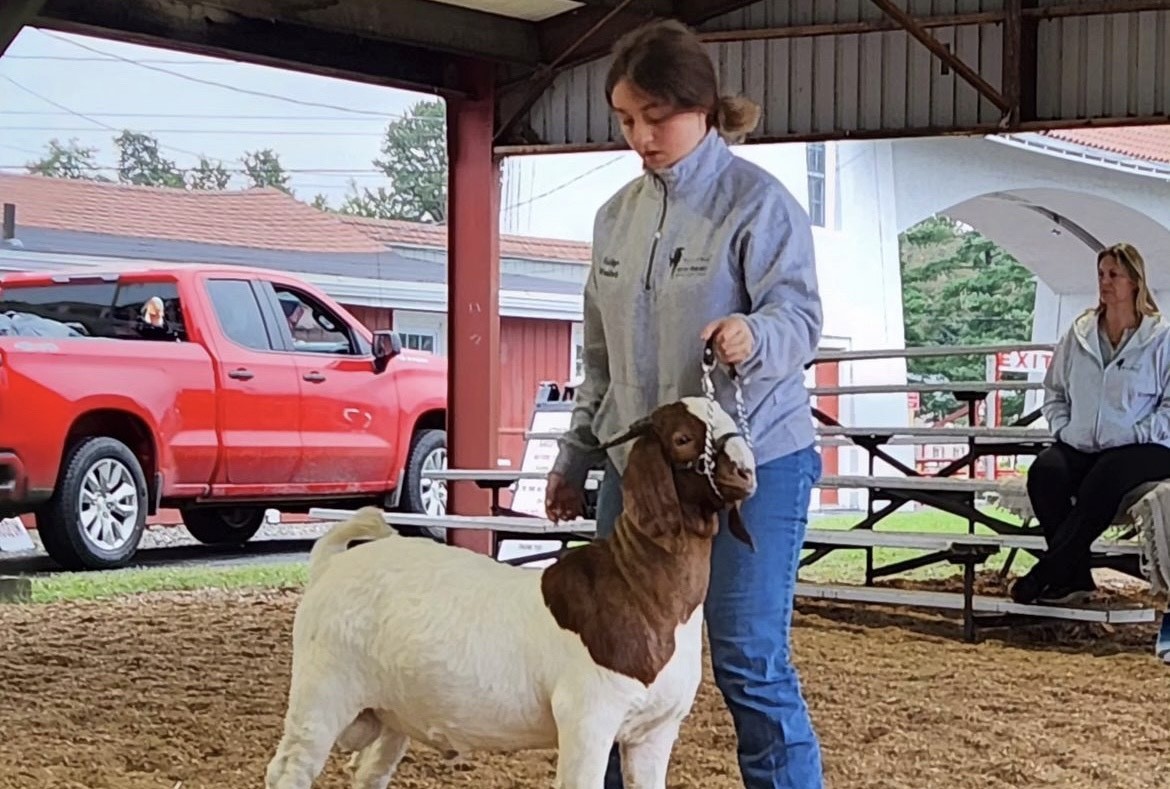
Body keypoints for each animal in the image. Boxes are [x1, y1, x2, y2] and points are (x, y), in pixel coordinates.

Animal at [265, 395, 758, 786]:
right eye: (683, 438)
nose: (746, 470)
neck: (640, 589)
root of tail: (335, 561)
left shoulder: (656, 730)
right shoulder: (588, 717)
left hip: (392, 710)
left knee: (371, 773)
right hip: (322, 688)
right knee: (289, 768)